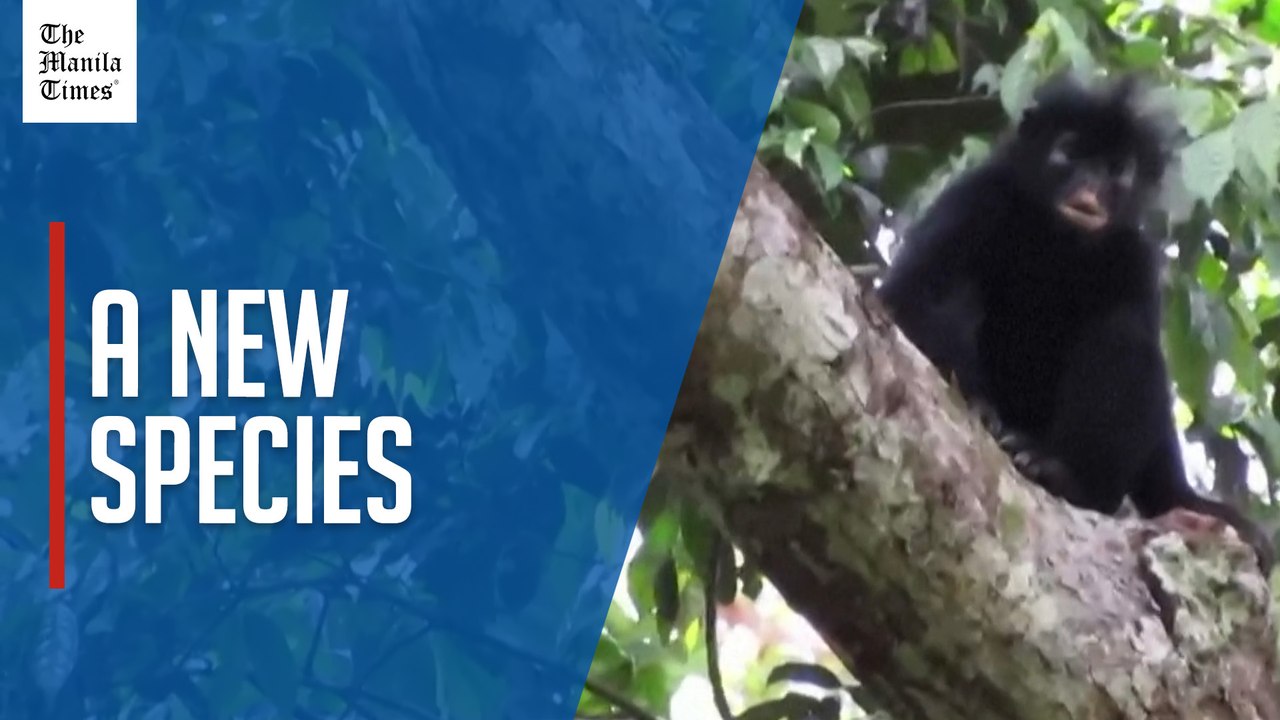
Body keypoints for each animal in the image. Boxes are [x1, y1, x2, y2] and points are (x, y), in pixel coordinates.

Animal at [876, 72, 1275, 573]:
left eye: (1116, 169)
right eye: (1070, 152)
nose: (1089, 187)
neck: (1056, 241)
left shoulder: (1133, 258)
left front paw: (1187, 501)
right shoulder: (973, 199)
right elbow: (905, 295)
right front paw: (976, 403)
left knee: (1123, 335)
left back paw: (1063, 476)